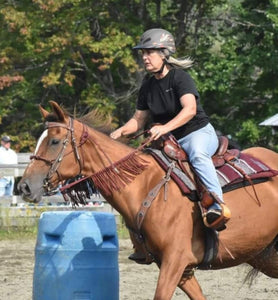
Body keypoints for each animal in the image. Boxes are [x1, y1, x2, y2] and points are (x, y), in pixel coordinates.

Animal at [17, 101, 278, 300]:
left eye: (54, 141)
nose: (24, 186)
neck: (144, 185)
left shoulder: (175, 261)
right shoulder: (179, 269)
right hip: (264, 255)